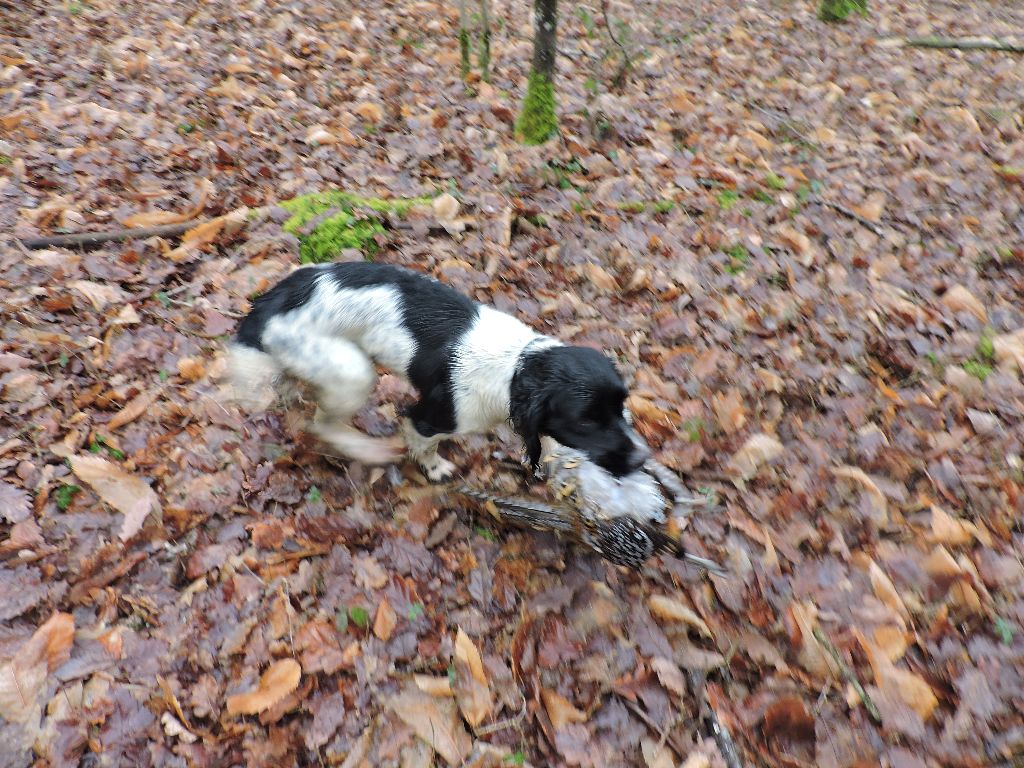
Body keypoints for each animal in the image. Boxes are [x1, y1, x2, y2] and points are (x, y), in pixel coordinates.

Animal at [230, 264, 647, 481]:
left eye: (622, 407)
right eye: (585, 421)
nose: (643, 459)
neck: (514, 367)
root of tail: (269, 302)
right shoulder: (431, 416)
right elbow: (423, 442)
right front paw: (434, 468)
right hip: (353, 371)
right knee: (323, 424)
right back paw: (367, 449)